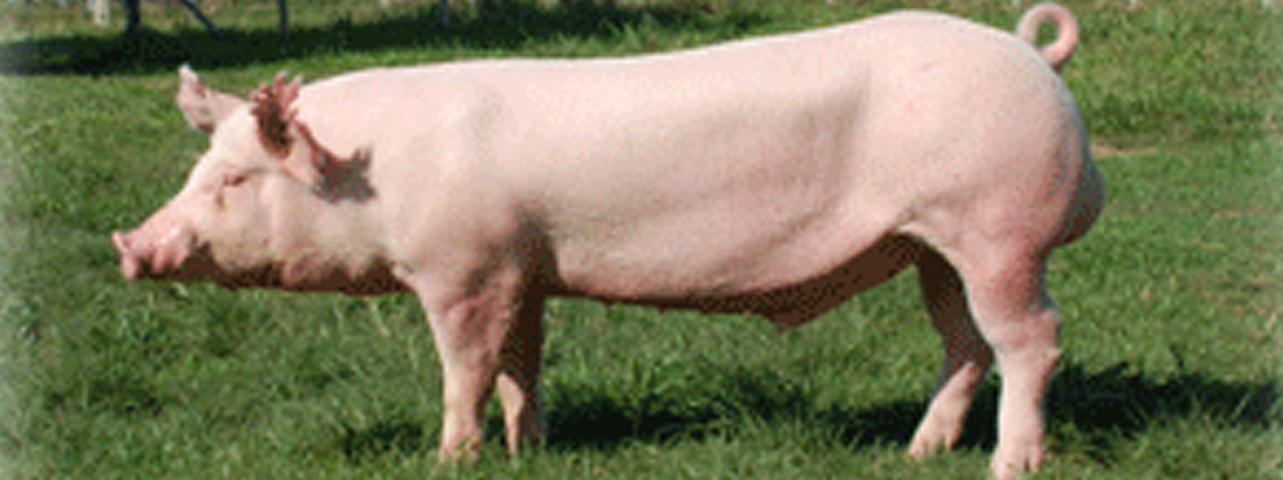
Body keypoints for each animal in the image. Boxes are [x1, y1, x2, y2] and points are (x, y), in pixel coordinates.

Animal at [112, 3, 1102, 479]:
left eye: (234, 181)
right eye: (201, 168)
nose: (131, 243)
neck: (374, 172)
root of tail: (1034, 57)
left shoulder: (462, 270)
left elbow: (464, 369)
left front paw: (450, 458)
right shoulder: (520, 269)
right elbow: (521, 363)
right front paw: (529, 449)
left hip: (998, 230)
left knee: (1030, 339)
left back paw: (1010, 465)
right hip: (933, 245)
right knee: (964, 344)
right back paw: (914, 454)